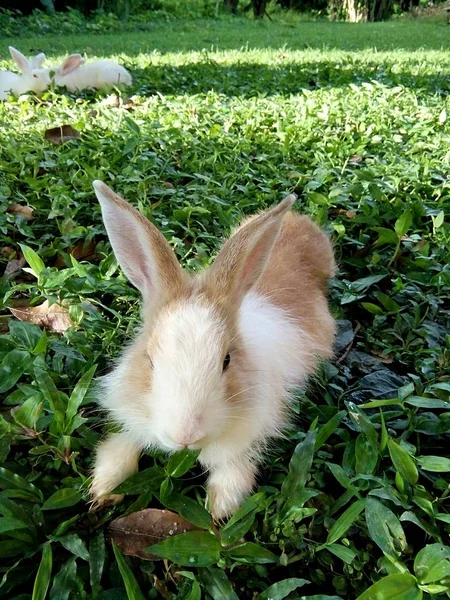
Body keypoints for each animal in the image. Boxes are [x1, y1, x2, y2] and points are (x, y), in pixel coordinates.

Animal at [89, 179, 336, 520]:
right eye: (149, 359)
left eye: (226, 361)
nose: (185, 435)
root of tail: (299, 221)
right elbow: (121, 446)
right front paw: (103, 490)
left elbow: (233, 470)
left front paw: (219, 511)